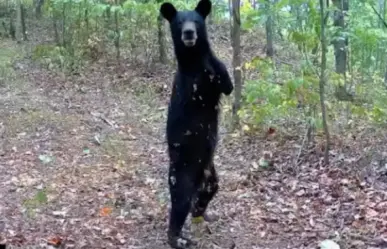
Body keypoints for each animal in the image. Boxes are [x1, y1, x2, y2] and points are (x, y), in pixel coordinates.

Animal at [160, 0, 233, 247]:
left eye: (197, 21)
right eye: (179, 22)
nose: (189, 33)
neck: (193, 59)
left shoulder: (218, 76)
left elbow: (226, 82)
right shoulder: (192, 85)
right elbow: (200, 89)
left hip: (208, 168)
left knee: (211, 187)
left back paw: (201, 212)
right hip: (184, 170)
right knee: (180, 203)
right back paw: (179, 238)